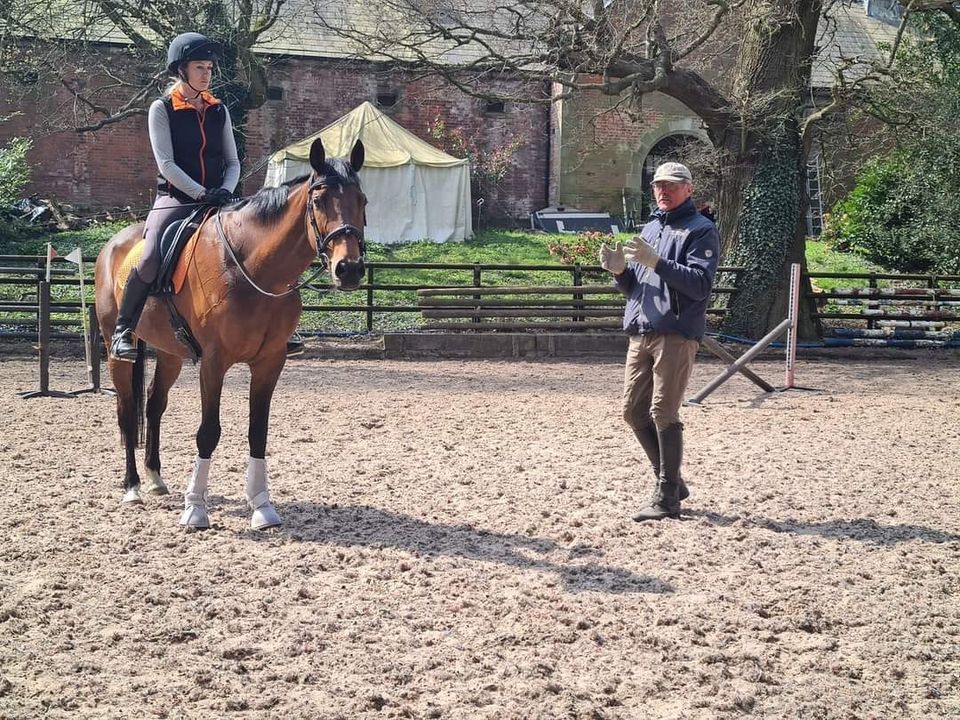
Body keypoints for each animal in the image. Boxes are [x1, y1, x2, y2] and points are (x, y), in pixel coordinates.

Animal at [94, 139, 364, 528]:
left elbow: (258, 431)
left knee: (154, 403)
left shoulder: (270, 362)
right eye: (319, 201)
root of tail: (114, 243)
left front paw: (262, 506)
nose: (349, 269)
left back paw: (155, 478)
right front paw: (195, 509)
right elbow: (208, 432)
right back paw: (131, 487)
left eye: (363, 200)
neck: (253, 268)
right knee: (127, 409)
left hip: (171, 353)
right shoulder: (214, 363)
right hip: (116, 349)